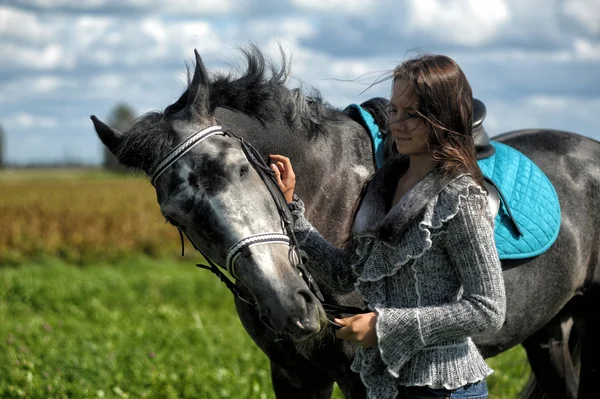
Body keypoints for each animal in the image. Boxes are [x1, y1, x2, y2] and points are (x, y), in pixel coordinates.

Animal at [91, 47, 596, 399]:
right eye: (174, 216)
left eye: (241, 169)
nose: (290, 307)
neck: (337, 197)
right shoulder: (293, 376)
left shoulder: (365, 380)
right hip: (549, 333)